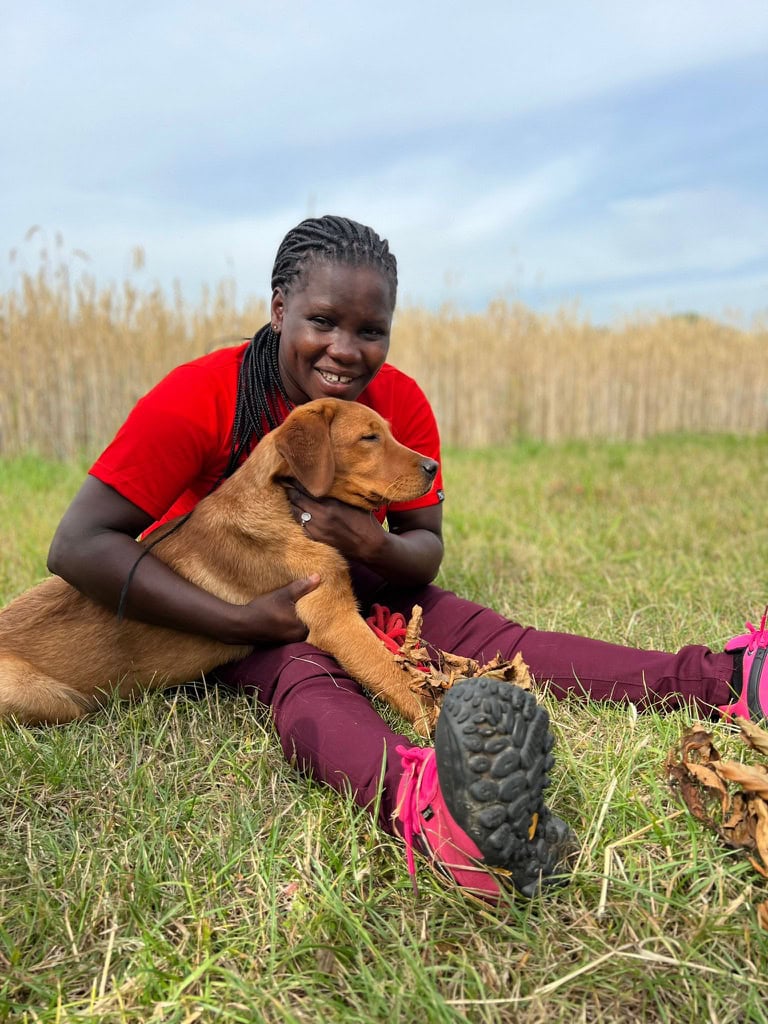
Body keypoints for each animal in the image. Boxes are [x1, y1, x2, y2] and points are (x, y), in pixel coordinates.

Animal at [0, 395, 438, 733]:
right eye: (369, 437)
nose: (433, 467)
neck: (283, 504)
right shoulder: (336, 620)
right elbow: (393, 674)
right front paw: (433, 719)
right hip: (46, 696)